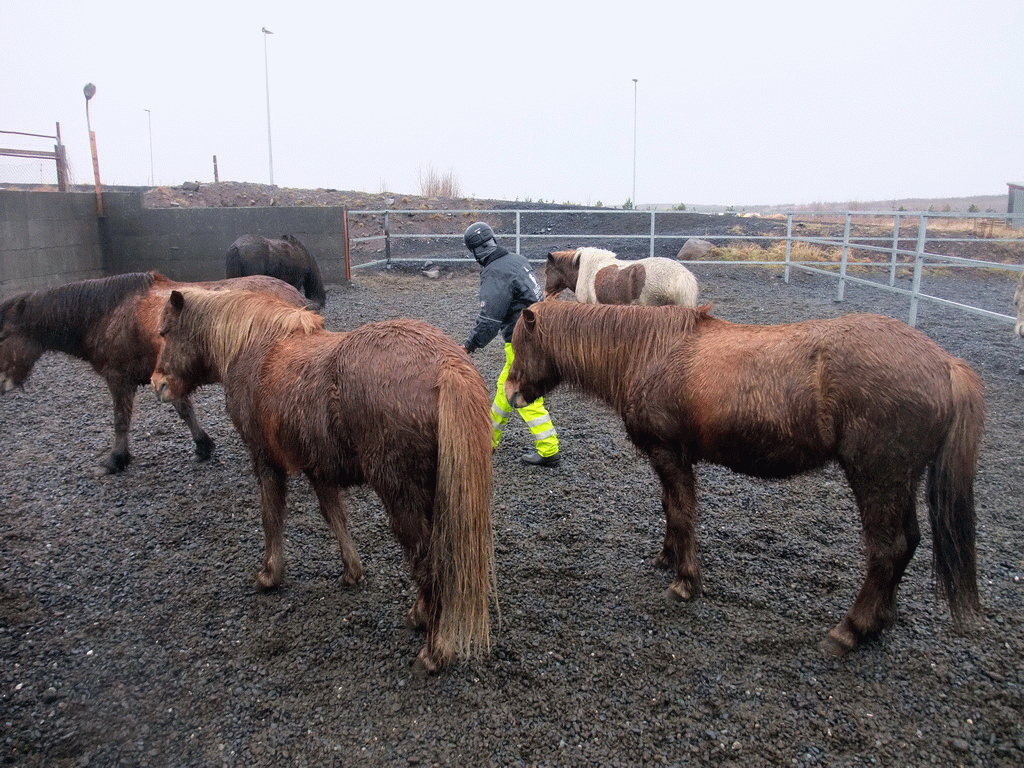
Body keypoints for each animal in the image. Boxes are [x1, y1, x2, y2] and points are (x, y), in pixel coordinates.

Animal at [0, 270, 307, 475]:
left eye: (3, 336)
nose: (1, 383)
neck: (108, 312)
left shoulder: (118, 378)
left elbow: (120, 420)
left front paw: (116, 459)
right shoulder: (167, 378)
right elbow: (185, 411)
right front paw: (203, 446)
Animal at [150, 286, 495, 671]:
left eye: (165, 332)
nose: (158, 384)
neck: (255, 347)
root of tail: (446, 366)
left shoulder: (266, 461)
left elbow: (271, 517)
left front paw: (270, 574)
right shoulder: (319, 470)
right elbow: (335, 518)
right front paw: (352, 571)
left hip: (400, 494)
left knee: (428, 564)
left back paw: (434, 651)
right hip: (433, 494)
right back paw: (420, 616)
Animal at [503, 301, 983, 655]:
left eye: (519, 345)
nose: (511, 394)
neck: (650, 353)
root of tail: (946, 364)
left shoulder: (669, 455)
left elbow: (681, 514)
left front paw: (685, 583)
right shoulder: (670, 460)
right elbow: (670, 510)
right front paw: (667, 558)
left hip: (877, 478)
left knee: (888, 549)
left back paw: (851, 629)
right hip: (899, 481)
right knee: (908, 542)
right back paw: (881, 619)